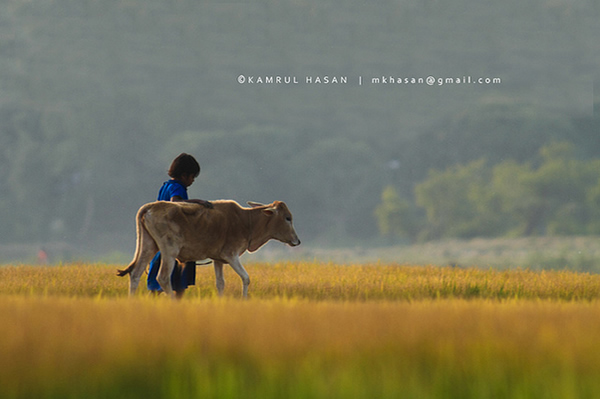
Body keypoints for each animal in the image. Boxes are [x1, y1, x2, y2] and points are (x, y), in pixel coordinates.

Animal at [116, 200, 300, 296]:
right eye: (287, 218)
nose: (297, 241)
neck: (247, 221)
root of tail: (151, 206)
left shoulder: (218, 259)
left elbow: (220, 283)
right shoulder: (231, 255)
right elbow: (246, 278)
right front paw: (245, 299)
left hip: (148, 245)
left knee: (135, 274)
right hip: (169, 250)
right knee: (162, 278)